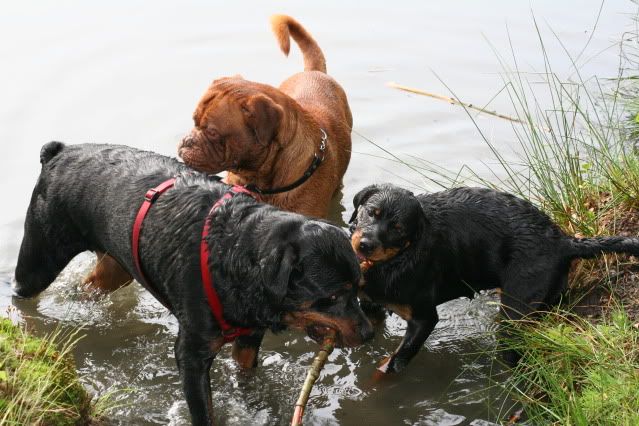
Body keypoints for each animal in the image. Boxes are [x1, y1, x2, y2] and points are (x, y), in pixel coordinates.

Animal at [13, 143, 376, 426]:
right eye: (331, 296)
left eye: (358, 287)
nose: (370, 333)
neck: (233, 251)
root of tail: (60, 152)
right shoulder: (191, 356)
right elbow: (205, 412)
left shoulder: (249, 339)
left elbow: (248, 379)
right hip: (38, 260)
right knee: (21, 295)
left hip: (115, 268)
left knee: (89, 286)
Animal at [350, 183, 639, 372]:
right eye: (371, 212)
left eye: (398, 228)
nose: (365, 244)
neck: (398, 258)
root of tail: (564, 242)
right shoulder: (370, 304)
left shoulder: (424, 318)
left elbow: (396, 361)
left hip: (517, 304)